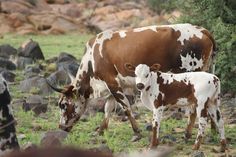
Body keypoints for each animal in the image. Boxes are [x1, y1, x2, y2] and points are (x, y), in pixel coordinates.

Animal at [48, 23, 218, 140]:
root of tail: (201, 30)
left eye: (63, 105)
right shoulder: (114, 85)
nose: (60, 127)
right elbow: (108, 108)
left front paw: (136, 131)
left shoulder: (111, 82)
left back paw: (188, 134)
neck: (92, 58)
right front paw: (101, 130)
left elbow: (126, 107)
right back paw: (214, 130)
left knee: (194, 108)